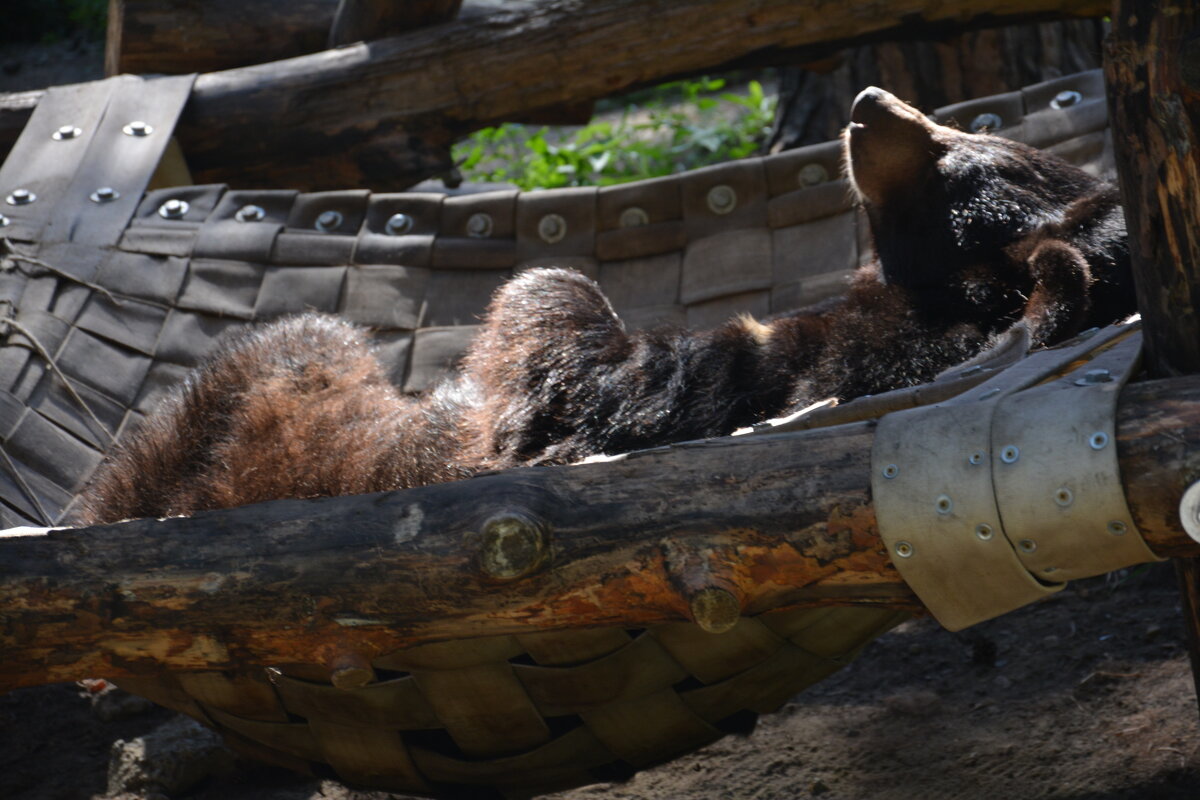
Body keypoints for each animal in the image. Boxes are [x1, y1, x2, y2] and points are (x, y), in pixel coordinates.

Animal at [75, 87, 1132, 525]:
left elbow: (554, 347)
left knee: (279, 352)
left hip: (274, 413)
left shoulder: (725, 380)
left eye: (960, 154)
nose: (872, 101)